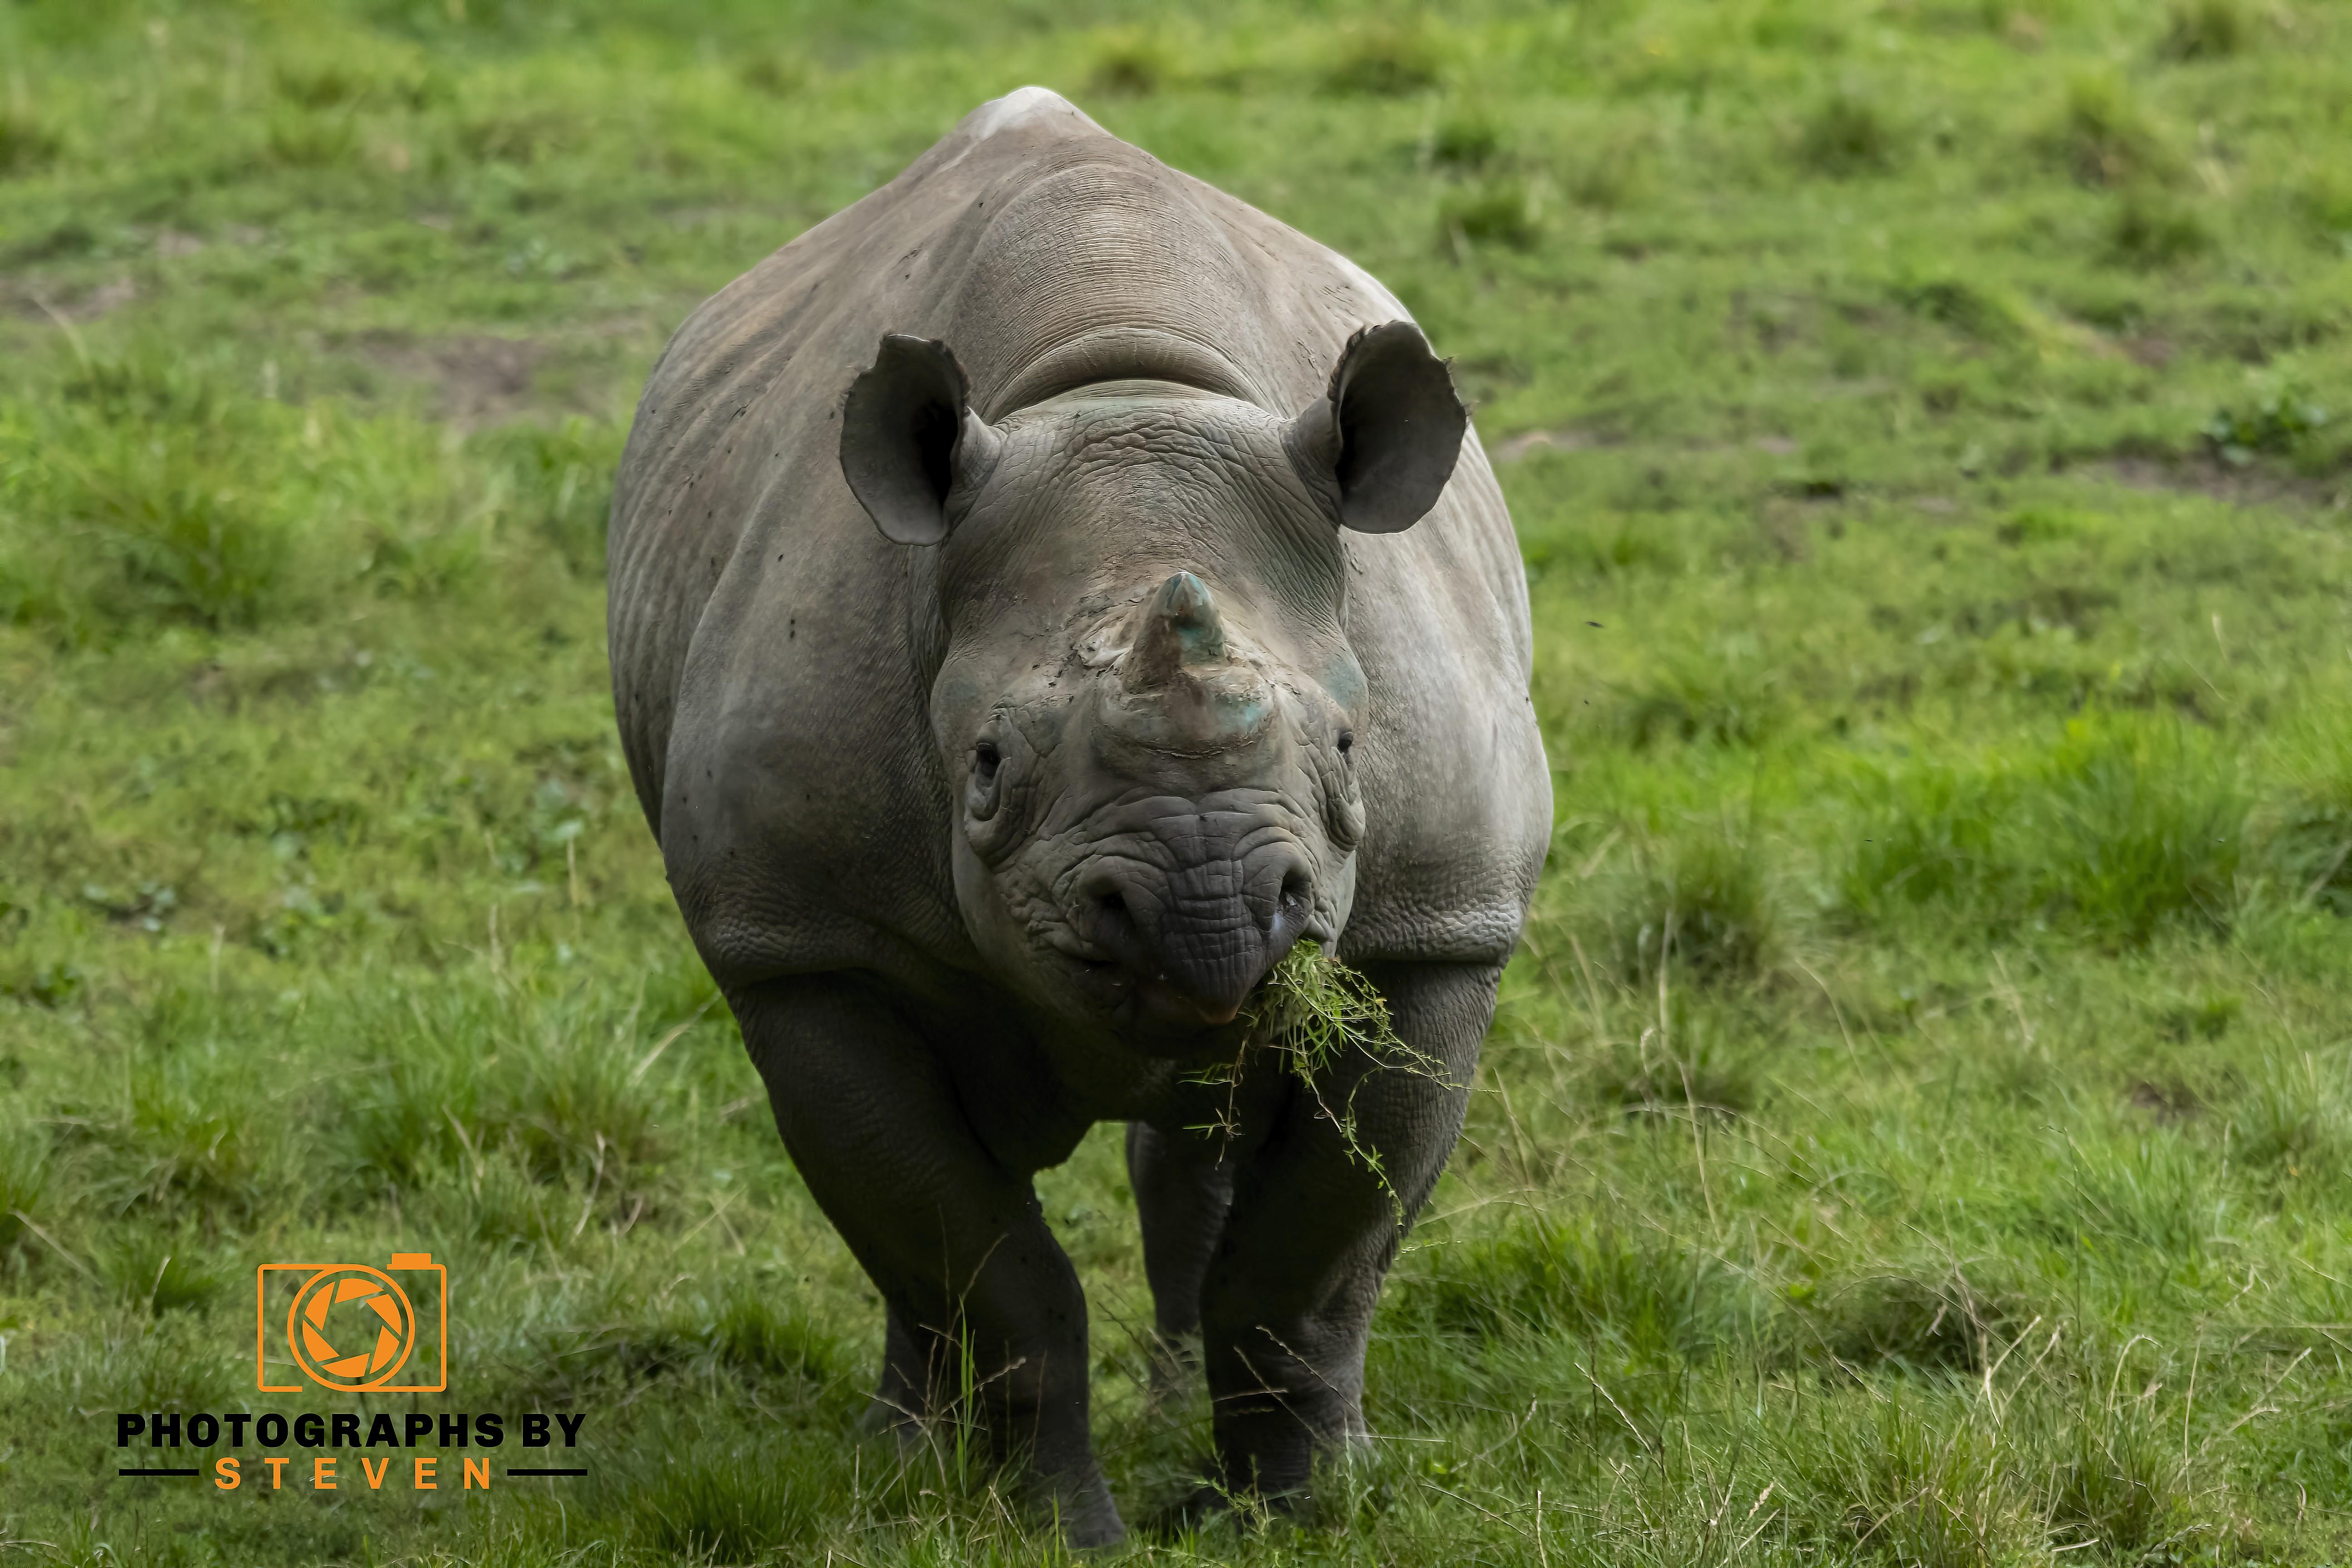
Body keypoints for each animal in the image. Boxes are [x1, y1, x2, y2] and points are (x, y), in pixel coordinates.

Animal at [608, 87, 1550, 1544]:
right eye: (987, 768)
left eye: (1352, 749)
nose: (1207, 907)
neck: (1124, 394)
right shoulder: (800, 945)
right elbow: (978, 1257)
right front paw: (1061, 1530)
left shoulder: (1438, 932)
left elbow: (1308, 1263)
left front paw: (1295, 1515)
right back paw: (901, 1460)